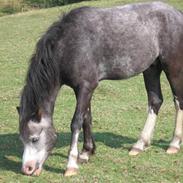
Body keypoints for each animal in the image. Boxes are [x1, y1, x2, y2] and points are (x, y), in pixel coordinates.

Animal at [17, 1, 183, 176]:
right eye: (22, 139)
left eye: (34, 138)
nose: (27, 169)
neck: (69, 44)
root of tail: (177, 14)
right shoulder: (83, 89)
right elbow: (86, 118)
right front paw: (86, 152)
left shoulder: (85, 87)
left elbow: (76, 122)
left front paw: (71, 164)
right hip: (151, 68)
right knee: (155, 101)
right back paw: (140, 144)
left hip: (173, 68)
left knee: (178, 100)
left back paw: (174, 143)